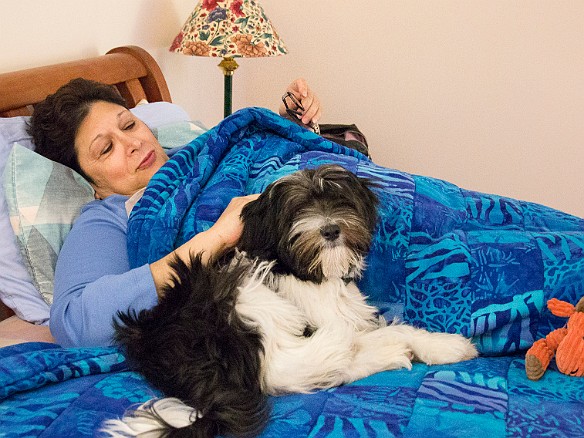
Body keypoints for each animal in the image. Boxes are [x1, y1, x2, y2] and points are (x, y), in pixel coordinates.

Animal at [104, 165, 480, 438]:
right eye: (298, 209)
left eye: (340, 200)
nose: (330, 230)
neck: (310, 272)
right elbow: (368, 333)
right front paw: (405, 342)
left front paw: (446, 346)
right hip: (247, 297)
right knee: (294, 368)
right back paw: (387, 351)